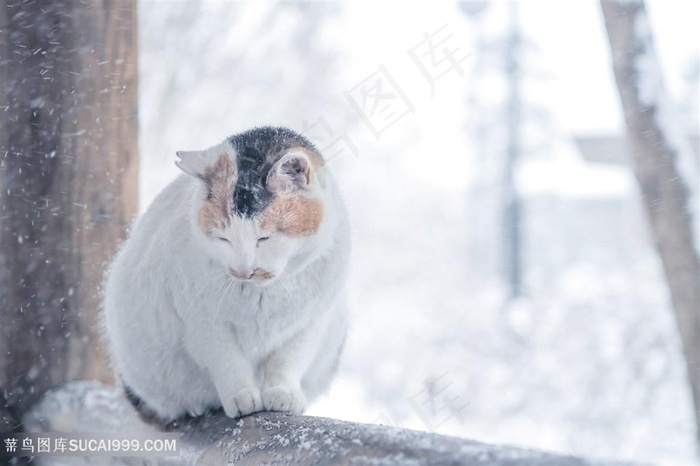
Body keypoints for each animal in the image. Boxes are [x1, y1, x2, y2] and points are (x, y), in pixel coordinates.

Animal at [103, 126, 350, 422]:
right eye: (223, 239)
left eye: (264, 238)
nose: (243, 271)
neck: (264, 292)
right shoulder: (204, 326)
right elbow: (228, 363)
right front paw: (241, 397)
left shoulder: (309, 325)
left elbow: (286, 361)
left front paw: (282, 393)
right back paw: (195, 406)